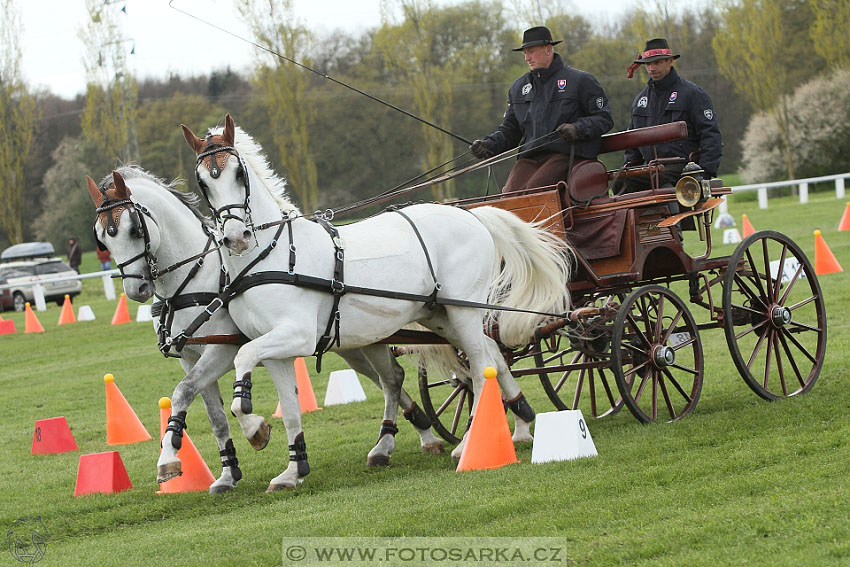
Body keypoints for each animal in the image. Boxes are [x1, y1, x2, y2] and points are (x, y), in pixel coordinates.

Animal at [87, 168, 444, 492]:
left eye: (135, 229)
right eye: (101, 238)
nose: (136, 290)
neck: (196, 278)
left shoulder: (223, 349)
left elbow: (185, 392)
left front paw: (175, 457)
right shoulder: (189, 358)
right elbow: (210, 413)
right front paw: (226, 474)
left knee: (391, 379)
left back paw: (414, 439)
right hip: (357, 342)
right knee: (391, 378)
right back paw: (415, 435)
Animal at [182, 112, 572, 470]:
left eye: (239, 174)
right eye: (202, 183)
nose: (236, 238)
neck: (274, 256)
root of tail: (470, 215)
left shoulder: (298, 335)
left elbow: (244, 357)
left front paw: (253, 426)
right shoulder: (273, 344)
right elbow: (281, 397)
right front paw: (278, 453)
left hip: (463, 309)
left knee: (479, 365)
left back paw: (470, 443)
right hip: (439, 314)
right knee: (491, 355)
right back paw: (519, 423)